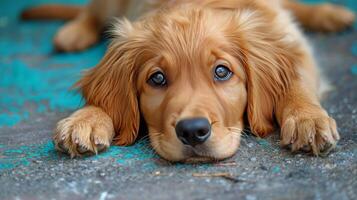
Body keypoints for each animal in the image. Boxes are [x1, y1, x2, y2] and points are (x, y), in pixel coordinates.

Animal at [23, 0, 354, 161]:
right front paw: (86, 118)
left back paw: (330, 14)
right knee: (93, 11)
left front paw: (307, 119)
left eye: (222, 71)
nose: (193, 131)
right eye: (157, 78)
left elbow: (295, 80)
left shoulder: (292, 43)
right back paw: (73, 32)